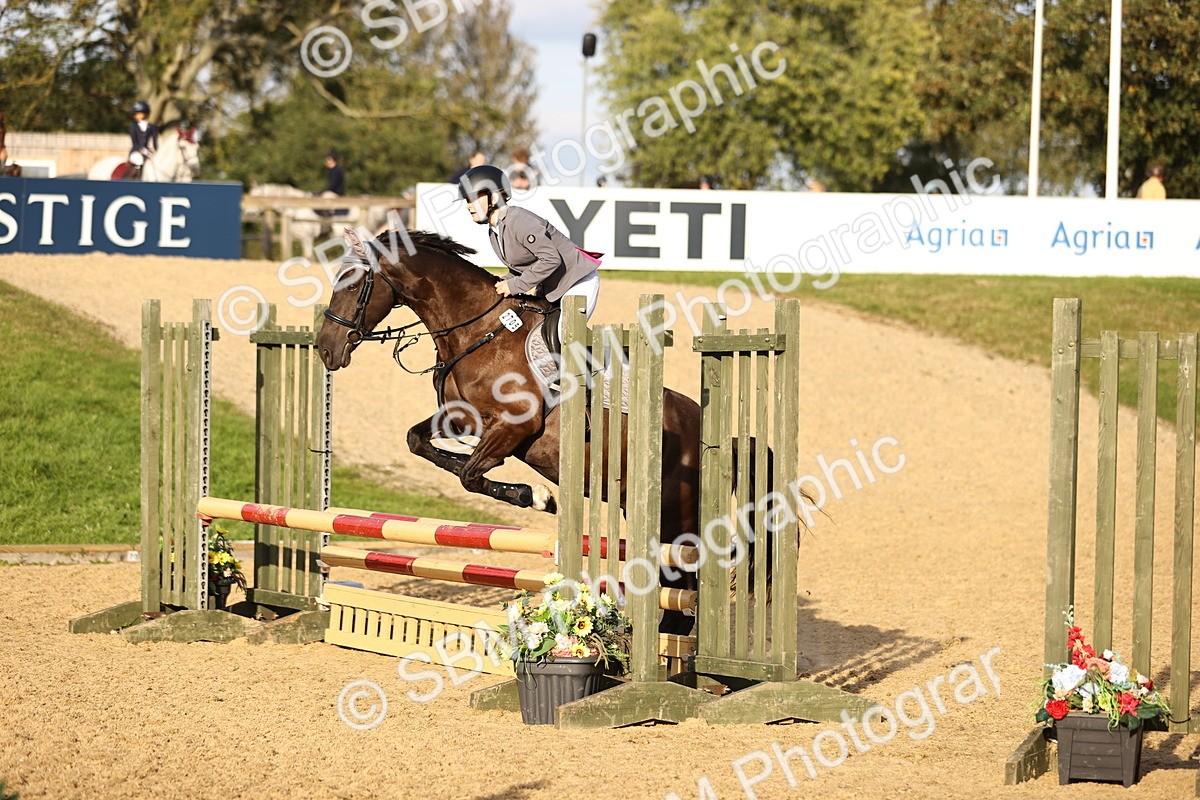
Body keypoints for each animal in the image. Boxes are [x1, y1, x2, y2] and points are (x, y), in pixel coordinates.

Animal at [315, 228, 707, 634]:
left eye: (352, 284)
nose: (325, 349)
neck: (479, 332)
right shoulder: (462, 418)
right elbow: (424, 445)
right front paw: (533, 495)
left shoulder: (515, 423)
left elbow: (471, 474)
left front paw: (534, 496)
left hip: (675, 517)